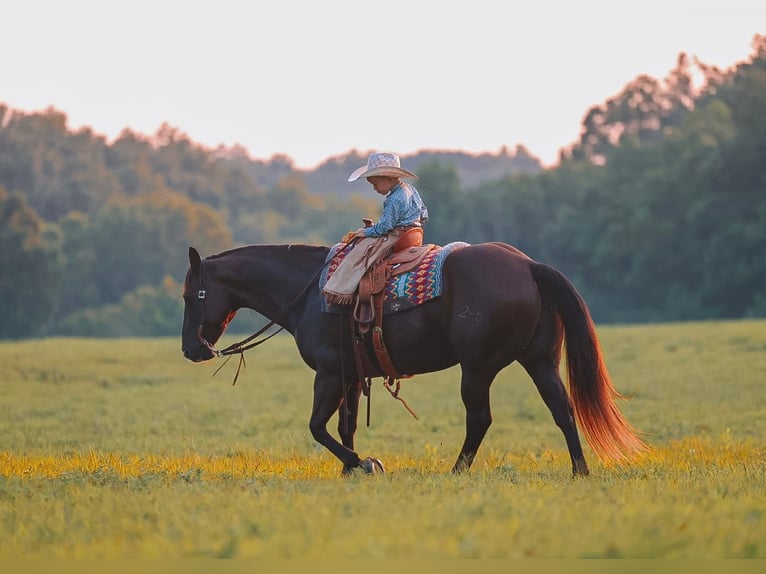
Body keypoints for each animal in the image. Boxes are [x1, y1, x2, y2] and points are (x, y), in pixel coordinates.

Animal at [181, 242, 647, 476]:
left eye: (189, 294)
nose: (190, 349)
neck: (311, 292)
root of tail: (529, 265)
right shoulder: (352, 375)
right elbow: (345, 426)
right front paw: (352, 469)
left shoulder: (328, 373)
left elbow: (316, 427)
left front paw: (365, 464)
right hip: (539, 361)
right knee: (562, 410)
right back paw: (580, 471)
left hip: (477, 368)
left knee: (480, 418)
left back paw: (456, 472)